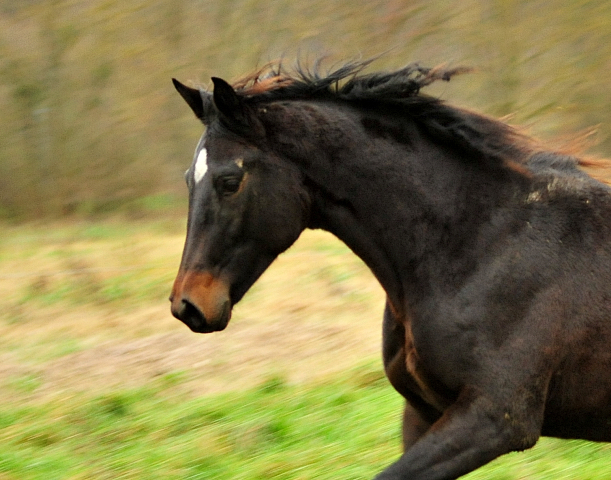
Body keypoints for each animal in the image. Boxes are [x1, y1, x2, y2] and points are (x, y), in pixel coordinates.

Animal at [169, 61, 611, 480]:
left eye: (230, 181)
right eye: (189, 179)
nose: (187, 305)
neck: (479, 242)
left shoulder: (495, 419)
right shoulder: (423, 412)